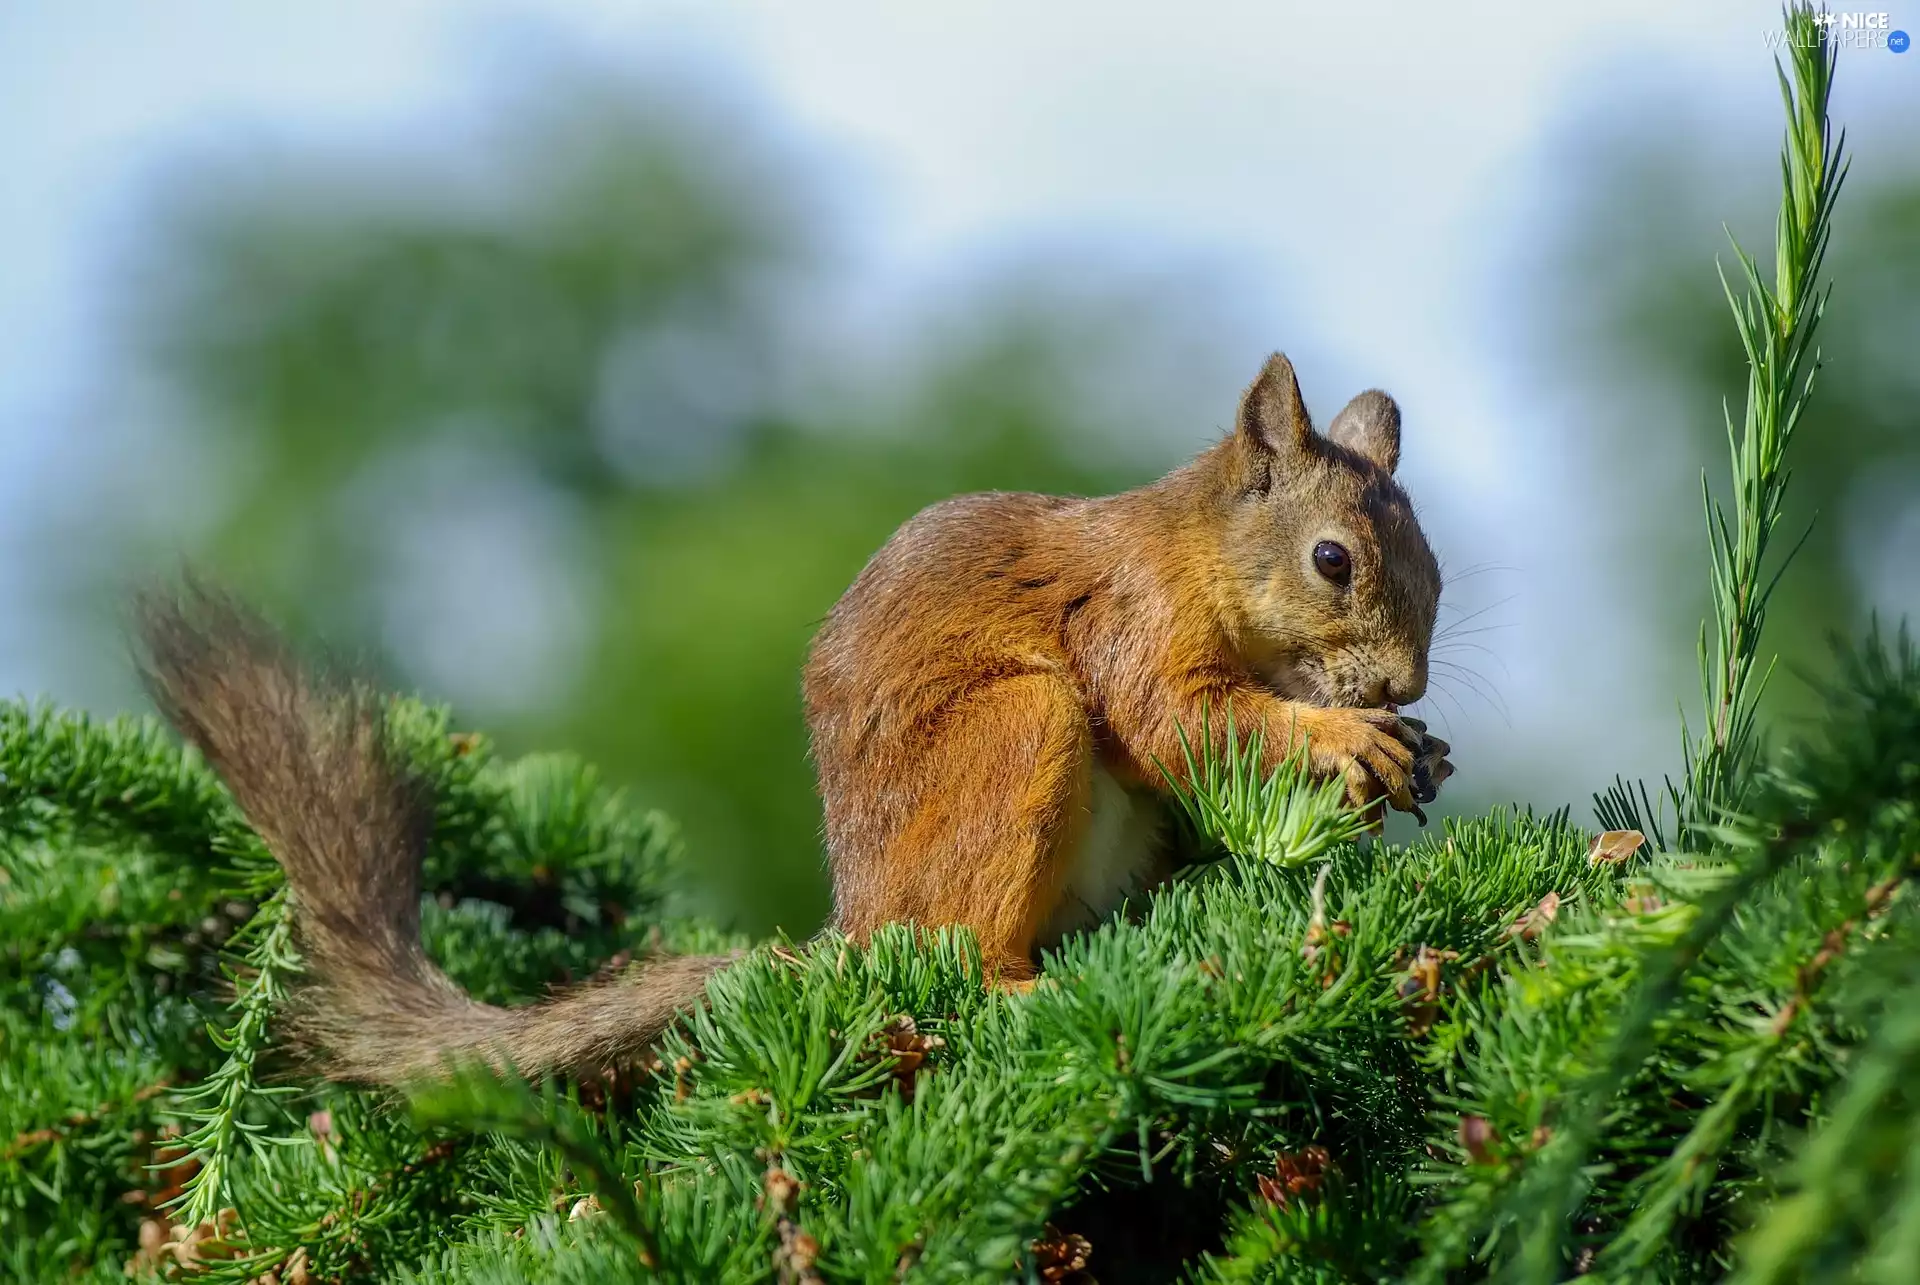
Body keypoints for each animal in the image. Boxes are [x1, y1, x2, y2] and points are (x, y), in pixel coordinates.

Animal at [137, 351, 1451, 1086]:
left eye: (1435, 569)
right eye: (1333, 560)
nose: (1402, 686)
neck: (1198, 551)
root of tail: (852, 926)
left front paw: (1416, 752)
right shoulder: (1130, 618)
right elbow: (1175, 718)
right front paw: (1342, 738)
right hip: (1015, 733)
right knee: (957, 955)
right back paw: (1026, 988)